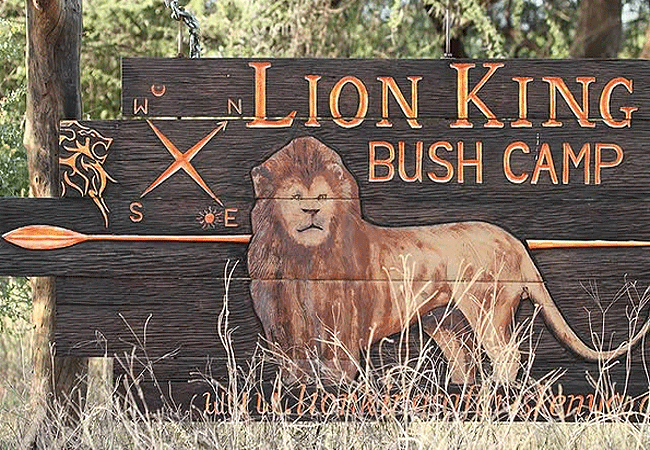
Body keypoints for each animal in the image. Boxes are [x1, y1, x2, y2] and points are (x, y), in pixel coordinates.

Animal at [247, 136, 650, 385]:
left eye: (323, 197)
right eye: (295, 196)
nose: (311, 211)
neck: (301, 256)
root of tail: (515, 241)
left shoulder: (341, 320)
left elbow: (338, 361)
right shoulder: (282, 323)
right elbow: (293, 363)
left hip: (487, 309)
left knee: (507, 355)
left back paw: (495, 393)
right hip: (445, 321)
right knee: (464, 359)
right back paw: (458, 389)